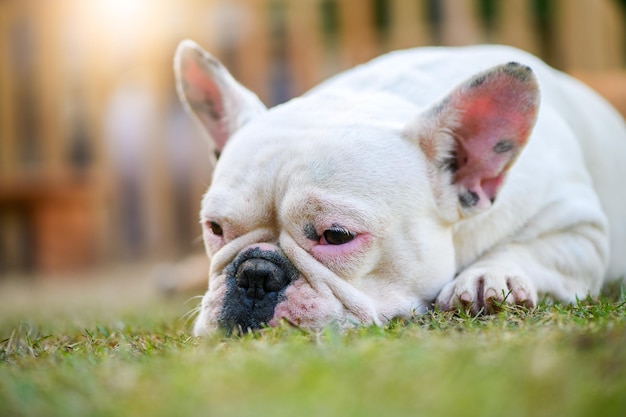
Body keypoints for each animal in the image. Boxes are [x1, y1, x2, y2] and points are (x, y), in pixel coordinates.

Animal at [173, 41, 624, 334]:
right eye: (215, 228)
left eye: (336, 236)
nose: (254, 274)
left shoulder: (579, 230)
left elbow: (531, 248)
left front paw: (488, 276)